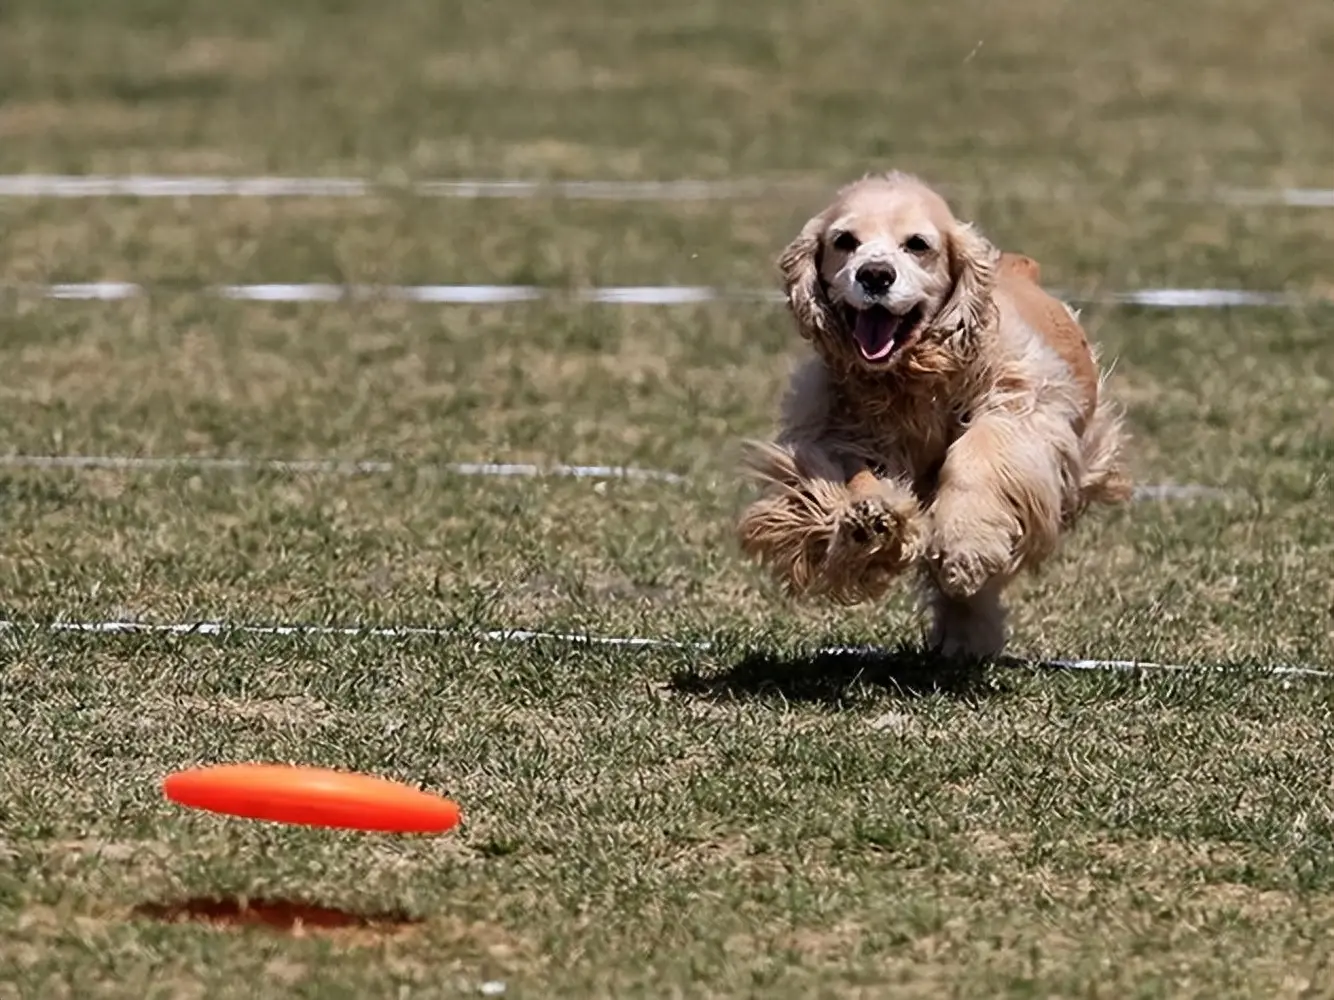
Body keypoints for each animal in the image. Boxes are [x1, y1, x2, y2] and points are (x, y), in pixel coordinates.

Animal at [736, 172, 1131, 658]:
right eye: (844, 241)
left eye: (918, 244)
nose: (875, 274)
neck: (910, 376)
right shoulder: (839, 427)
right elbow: (853, 476)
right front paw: (869, 523)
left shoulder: (1020, 409)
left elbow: (977, 456)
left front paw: (965, 548)